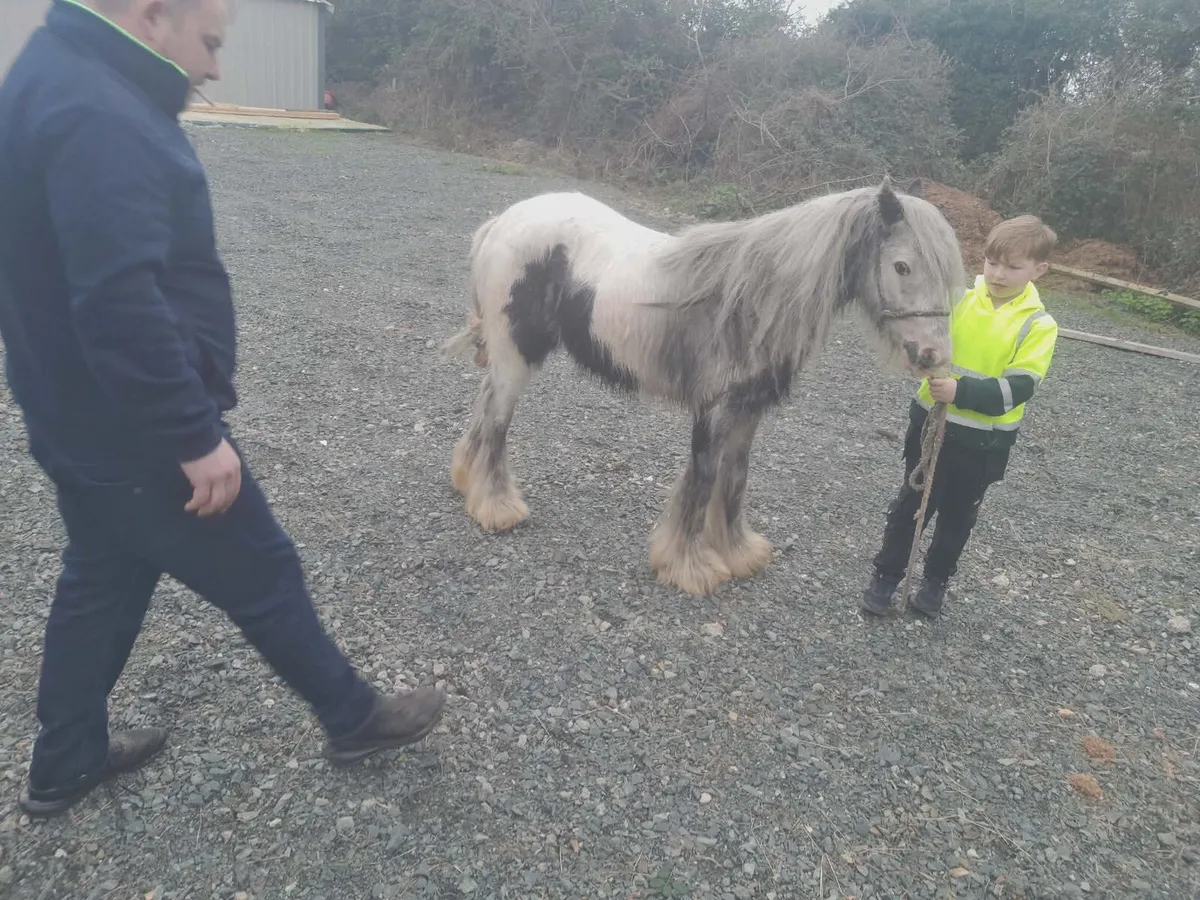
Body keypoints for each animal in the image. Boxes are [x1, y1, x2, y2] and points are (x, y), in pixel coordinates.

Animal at [441, 177, 964, 596]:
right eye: (902, 266)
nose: (934, 355)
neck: (753, 300)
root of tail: (504, 222)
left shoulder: (747, 412)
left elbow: (734, 480)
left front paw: (738, 553)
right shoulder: (711, 412)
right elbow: (703, 479)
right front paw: (689, 567)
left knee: (483, 406)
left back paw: (467, 481)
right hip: (517, 355)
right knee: (497, 422)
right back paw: (496, 506)